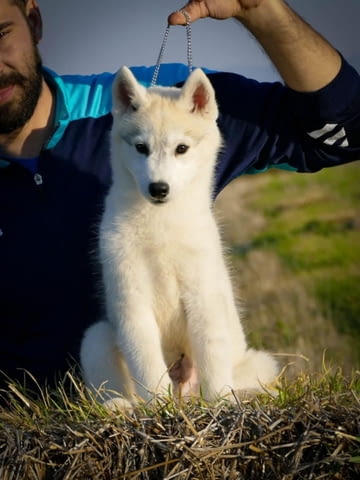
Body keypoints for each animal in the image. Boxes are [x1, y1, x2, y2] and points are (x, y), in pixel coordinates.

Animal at [81, 65, 278, 406]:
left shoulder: (203, 297)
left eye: (181, 148)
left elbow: (212, 360)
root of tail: (185, 394)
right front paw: (159, 406)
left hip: (257, 362)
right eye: (141, 148)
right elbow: (147, 366)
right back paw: (122, 407)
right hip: (97, 337)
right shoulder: (131, 302)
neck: (161, 225)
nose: (159, 188)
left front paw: (220, 403)